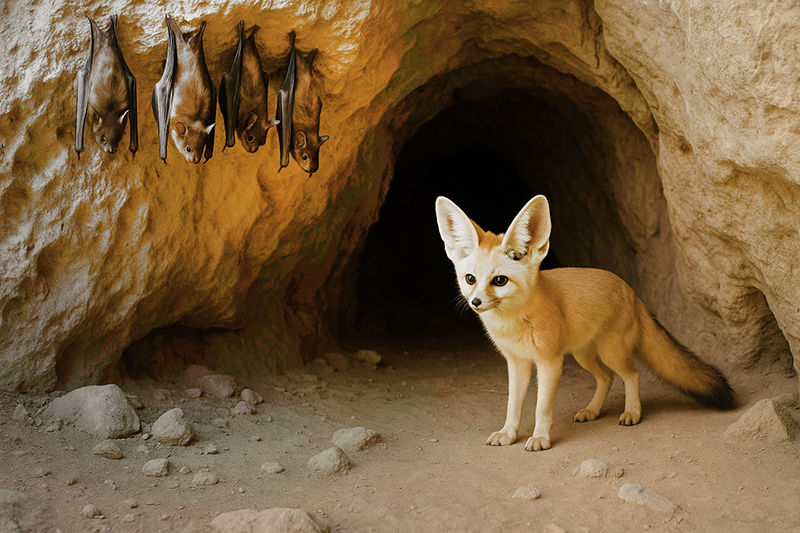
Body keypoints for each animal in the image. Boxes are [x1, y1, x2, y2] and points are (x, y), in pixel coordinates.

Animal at [435, 195, 735, 451]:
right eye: (470, 279)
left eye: (499, 281)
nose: (475, 303)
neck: (512, 325)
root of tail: (630, 290)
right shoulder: (517, 363)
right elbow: (513, 405)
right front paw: (508, 433)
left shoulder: (550, 362)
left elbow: (542, 408)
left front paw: (540, 438)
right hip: (584, 355)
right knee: (606, 377)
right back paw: (592, 410)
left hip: (610, 353)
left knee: (631, 374)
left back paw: (632, 412)